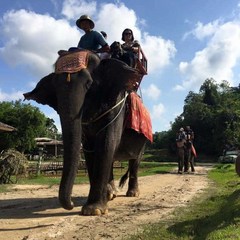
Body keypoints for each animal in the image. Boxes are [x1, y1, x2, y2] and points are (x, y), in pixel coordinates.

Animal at [23, 48, 151, 216]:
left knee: (135, 160)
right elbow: (90, 149)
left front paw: (93, 210)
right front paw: (97, 204)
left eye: (89, 84)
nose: (71, 203)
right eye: (54, 88)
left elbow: (107, 143)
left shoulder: (117, 105)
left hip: (144, 140)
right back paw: (111, 194)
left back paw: (132, 194)